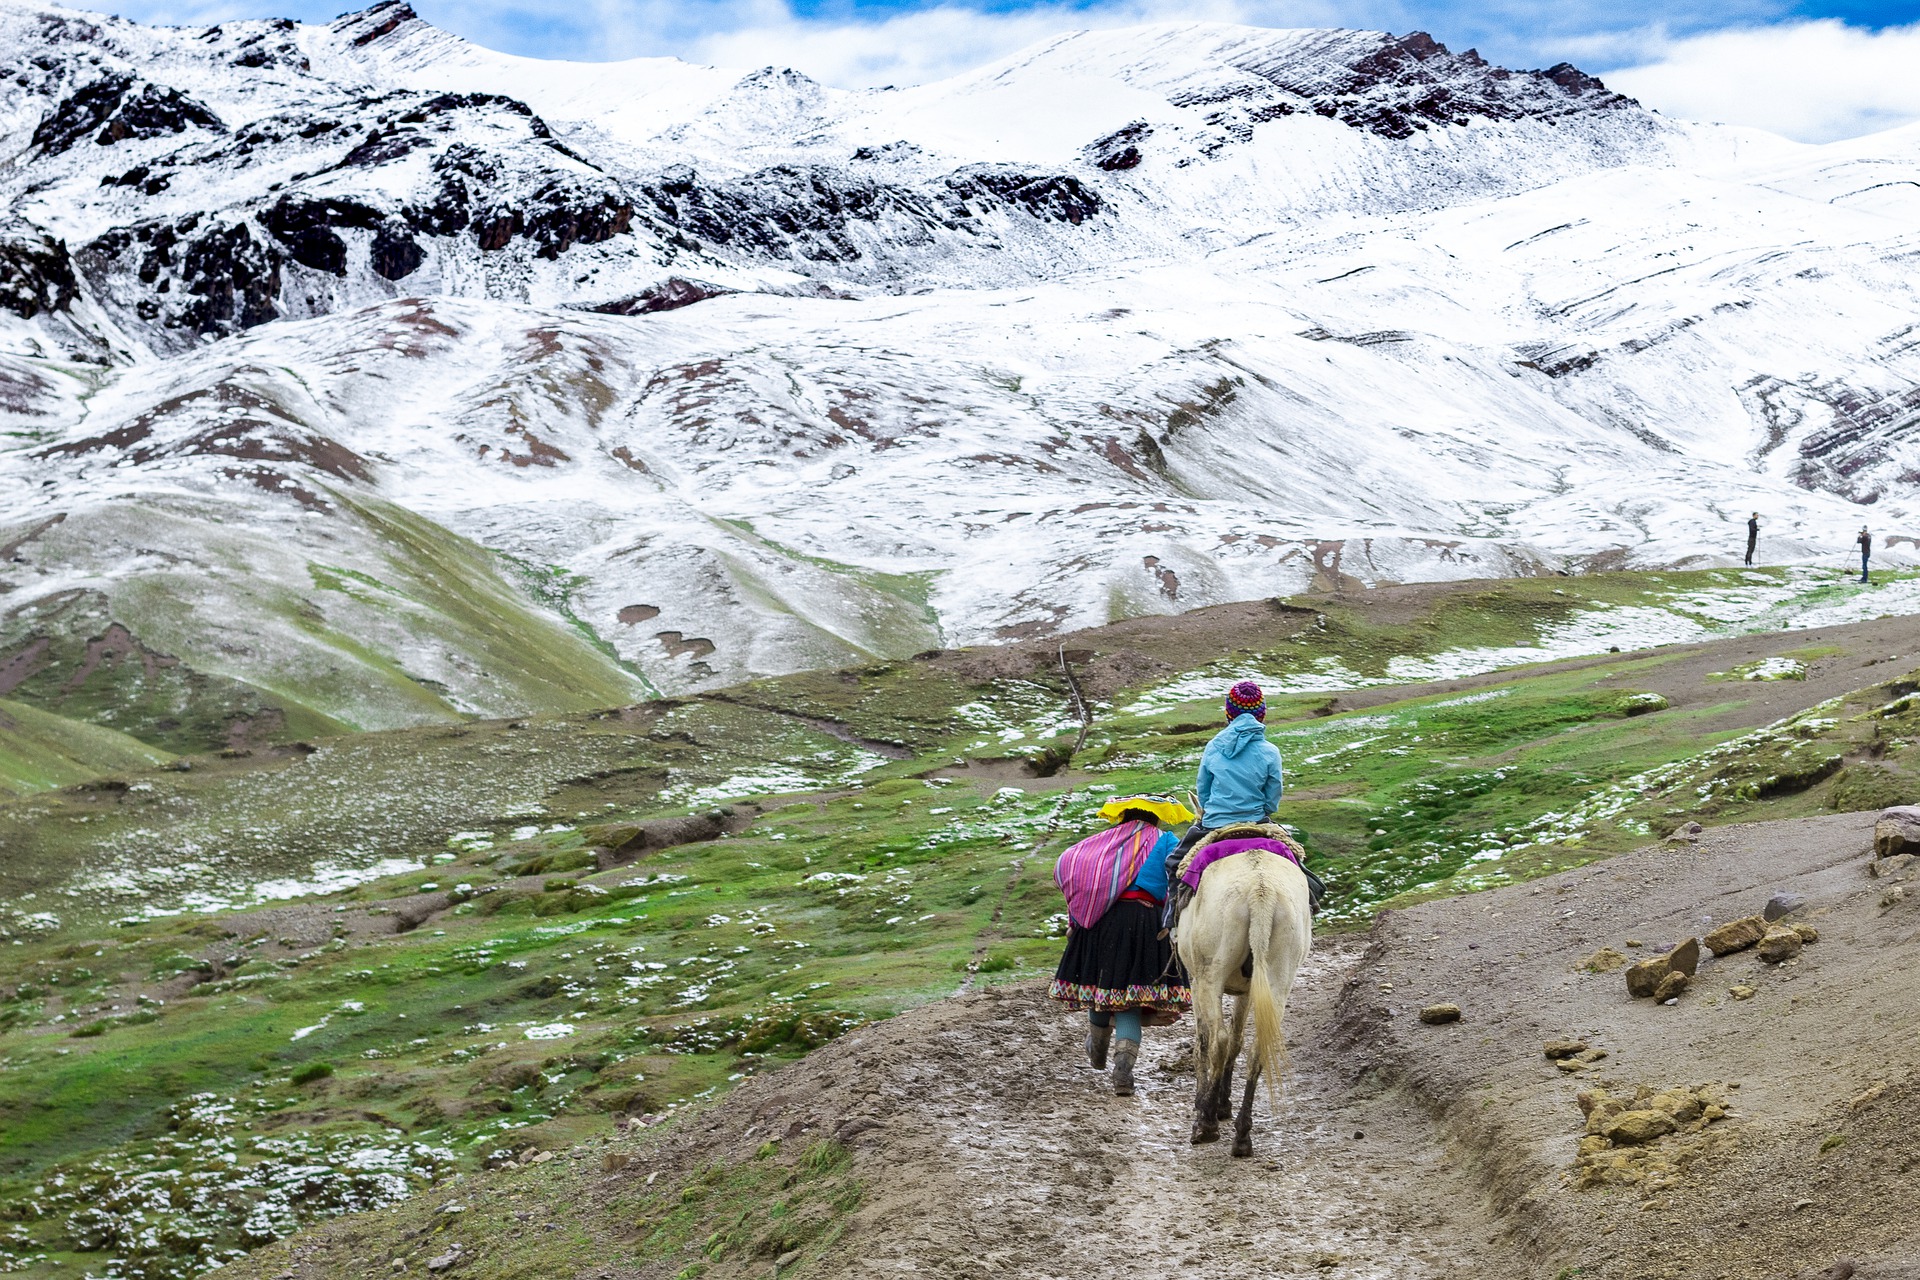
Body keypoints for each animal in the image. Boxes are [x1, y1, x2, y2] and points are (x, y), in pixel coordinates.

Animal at [1175, 832, 1313, 1159]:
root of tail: (1261, 892)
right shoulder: (1249, 990)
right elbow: (1238, 1040)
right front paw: (1225, 1103)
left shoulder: (1198, 983)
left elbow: (1204, 1043)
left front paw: (1209, 1105)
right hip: (1277, 978)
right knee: (1258, 1047)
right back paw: (1241, 1134)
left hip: (1211, 977)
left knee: (1217, 1041)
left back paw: (1205, 1123)